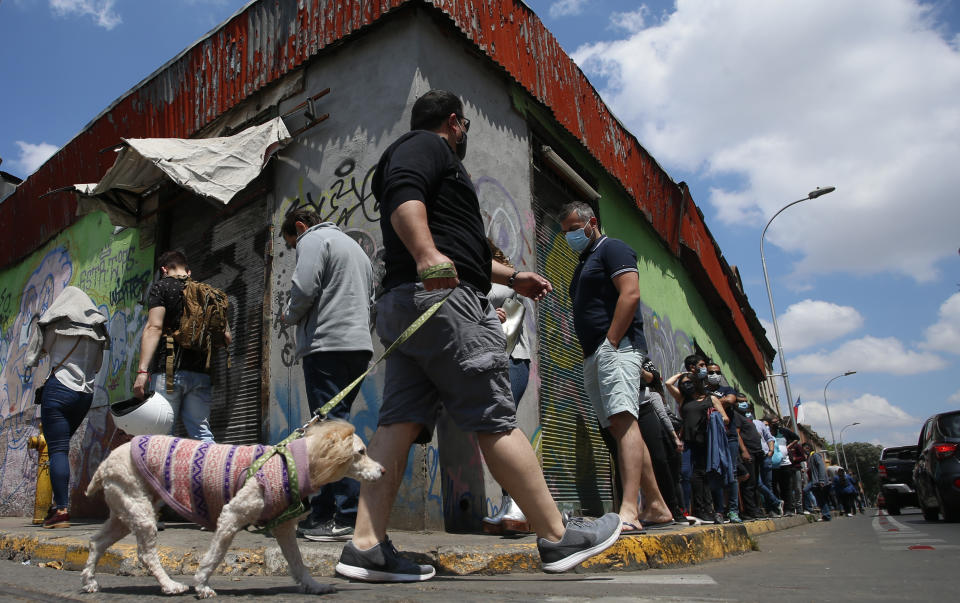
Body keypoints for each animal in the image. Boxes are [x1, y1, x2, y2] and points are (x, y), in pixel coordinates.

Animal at [79, 420, 382, 600]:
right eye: (361, 452)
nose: (383, 471)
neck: (295, 463)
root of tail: (105, 463)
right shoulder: (231, 515)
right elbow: (214, 556)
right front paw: (202, 584)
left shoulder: (283, 528)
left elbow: (298, 562)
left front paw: (314, 586)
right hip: (140, 511)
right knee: (145, 554)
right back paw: (170, 585)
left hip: (125, 511)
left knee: (96, 542)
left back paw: (90, 581)